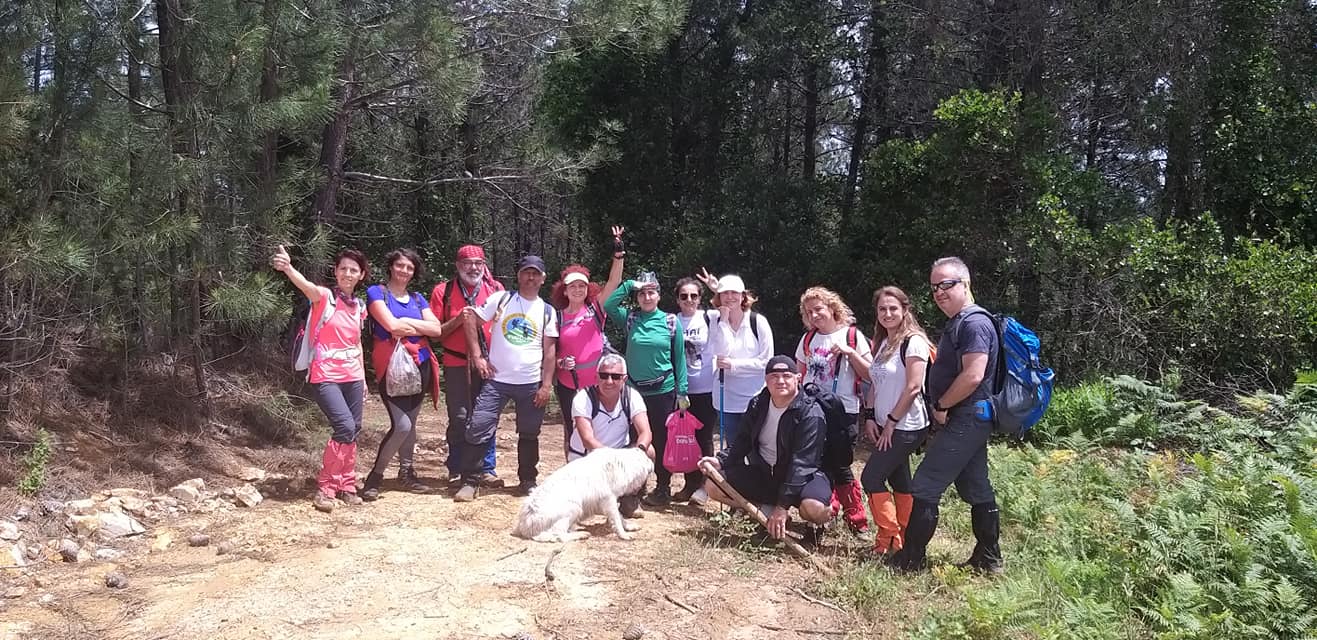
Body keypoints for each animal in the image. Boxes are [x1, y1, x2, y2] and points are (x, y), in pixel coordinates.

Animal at [513, 446, 653, 543]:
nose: (652, 465)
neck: (622, 464)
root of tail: (524, 525)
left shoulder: (603, 503)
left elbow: (620, 517)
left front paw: (629, 527)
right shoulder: (609, 500)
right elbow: (617, 520)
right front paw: (624, 535)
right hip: (574, 508)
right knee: (557, 535)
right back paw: (580, 534)